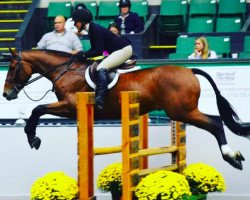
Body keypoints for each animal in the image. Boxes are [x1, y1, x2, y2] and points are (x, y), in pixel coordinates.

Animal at [1, 49, 250, 170]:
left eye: (12, 67)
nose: (7, 94)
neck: (65, 71)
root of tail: (190, 70)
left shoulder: (70, 106)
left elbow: (37, 109)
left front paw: (33, 138)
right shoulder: (70, 109)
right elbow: (37, 110)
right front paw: (33, 138)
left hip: (181, 112)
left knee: (216, 122)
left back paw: (232, 156)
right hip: (181, 112)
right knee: (216, 120)